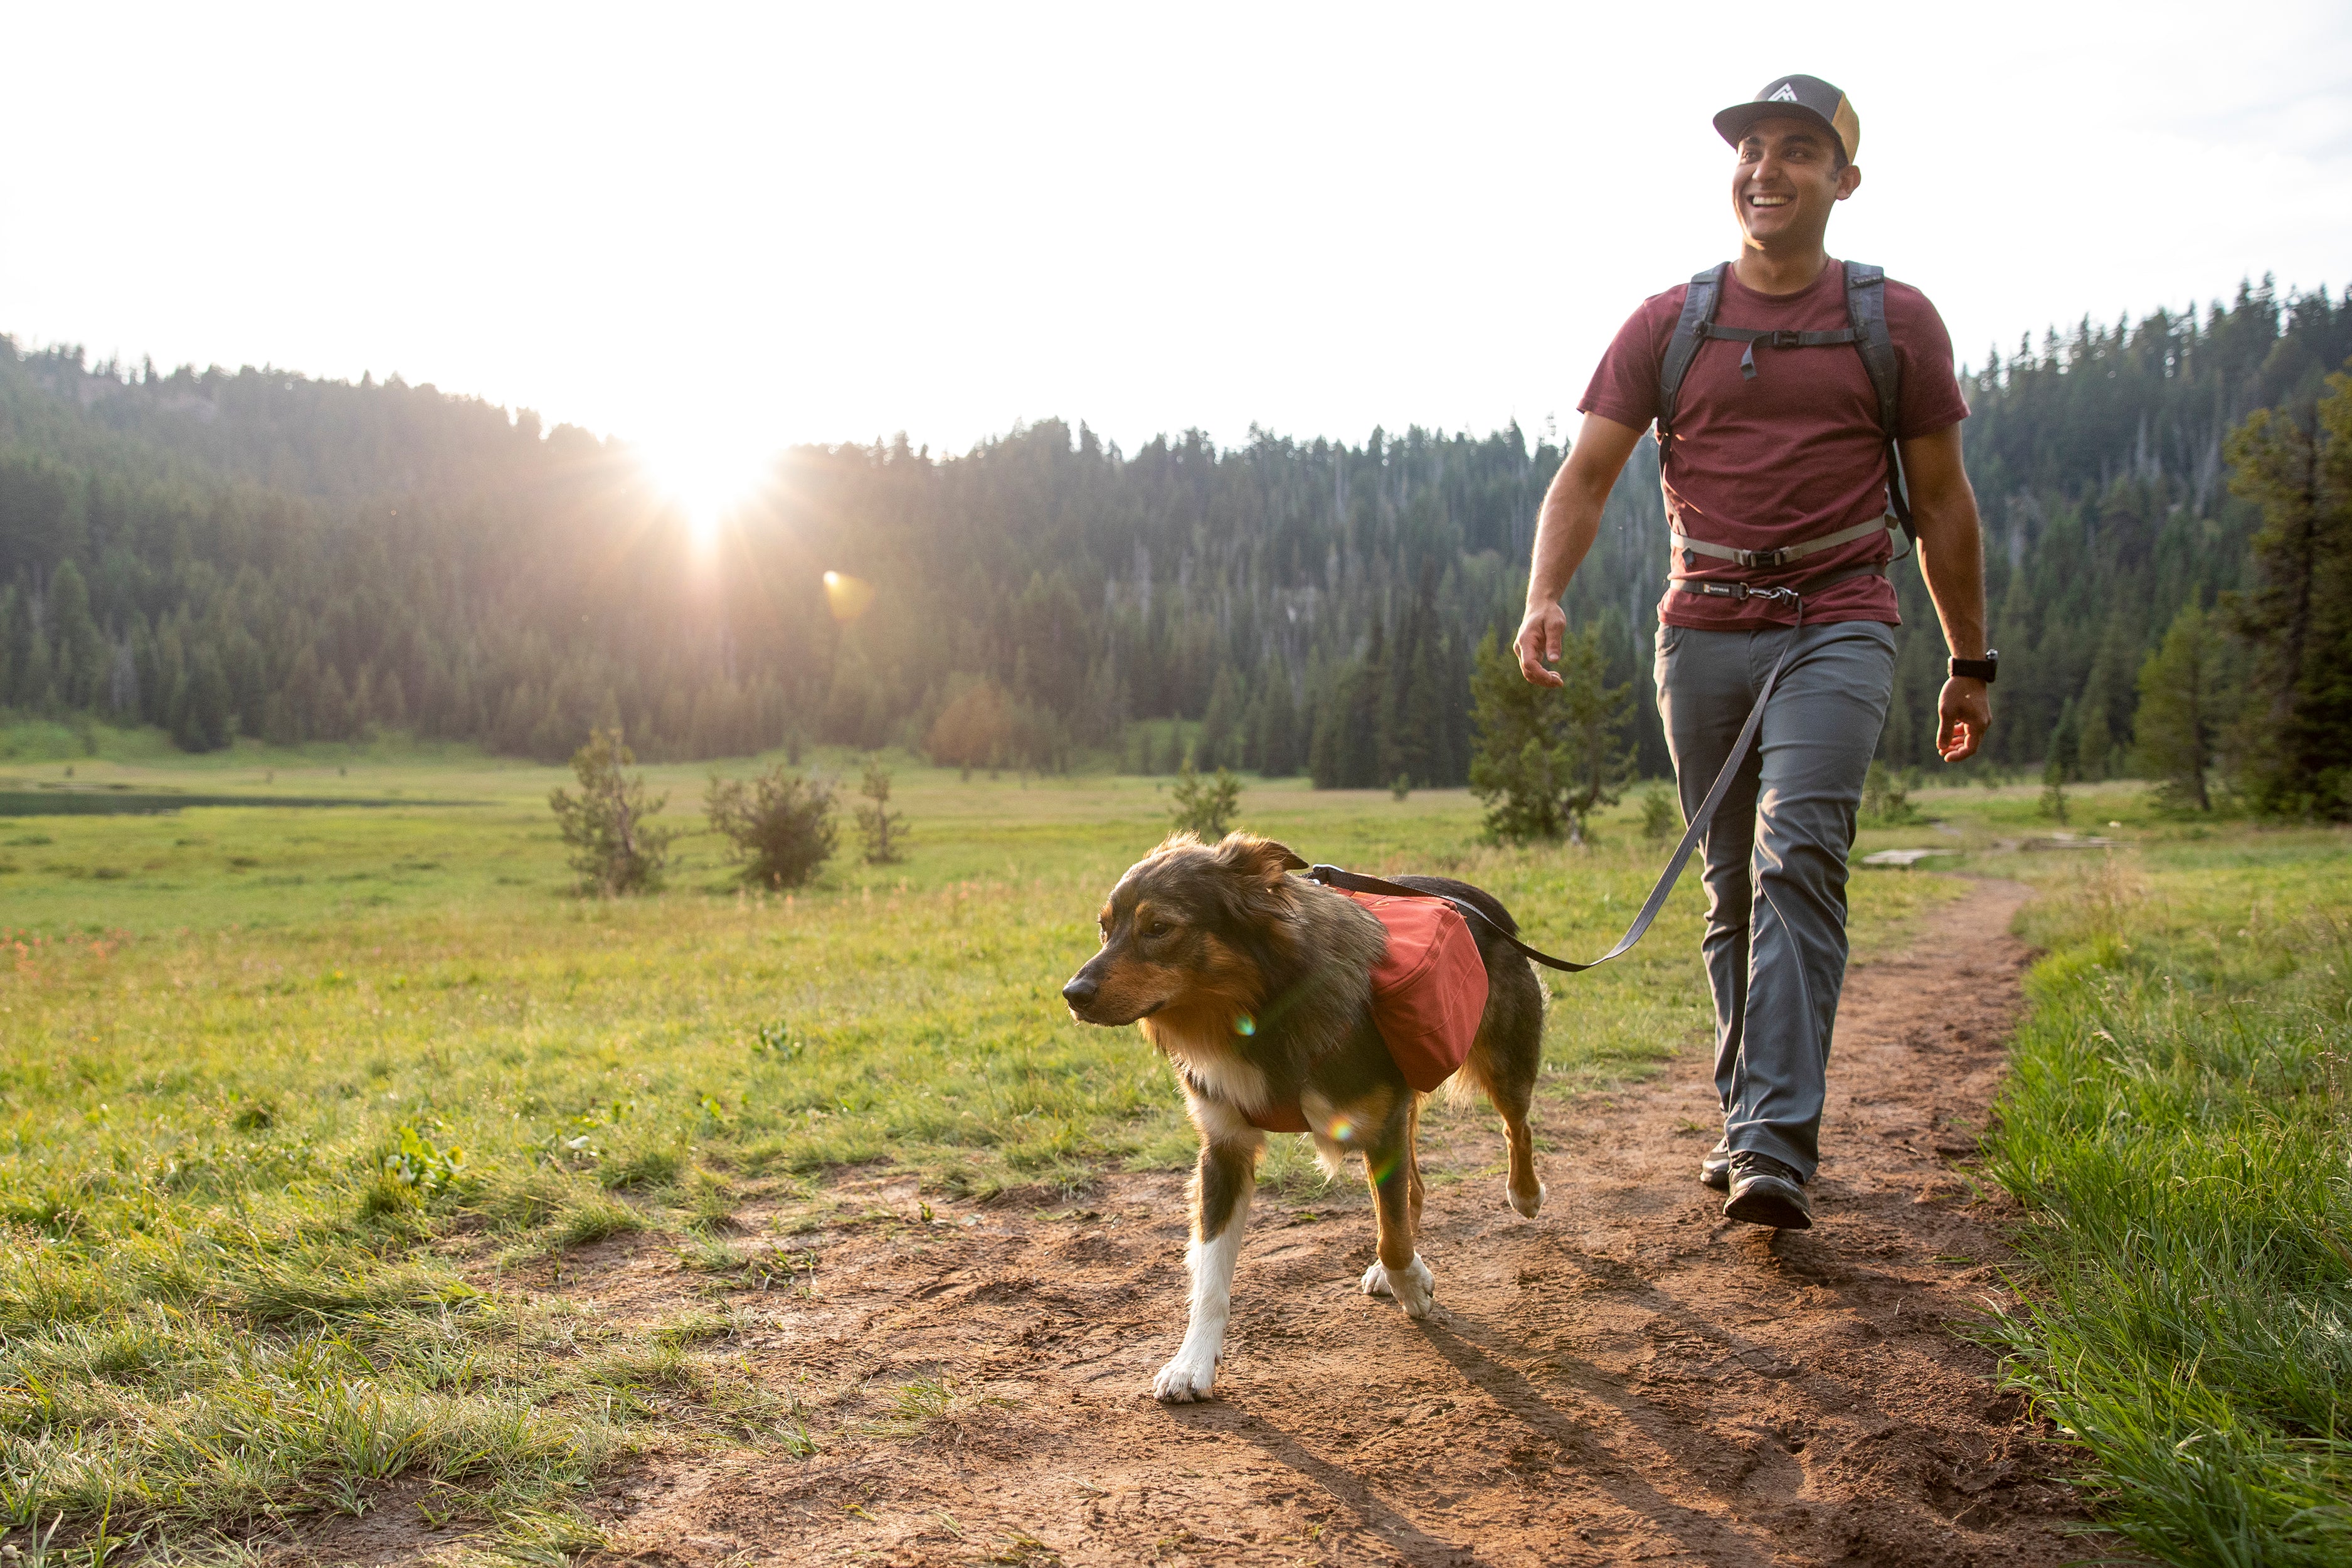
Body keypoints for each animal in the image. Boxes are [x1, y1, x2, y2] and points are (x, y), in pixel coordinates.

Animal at [1063, 832, 1543, 1401]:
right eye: (1104, 928)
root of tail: (1475, 897)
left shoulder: (1379, 1123)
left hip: (1503, 1062)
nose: (1072, 994)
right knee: (1416, 1187)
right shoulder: (1224, 1149)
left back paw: (1524, 1194)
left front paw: (1411, 1283)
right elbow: (1210, 1274)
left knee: (1516, 1127)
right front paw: (1193, 1363)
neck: (1256, 1013)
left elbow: (1392, 1235)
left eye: (1158, 928)